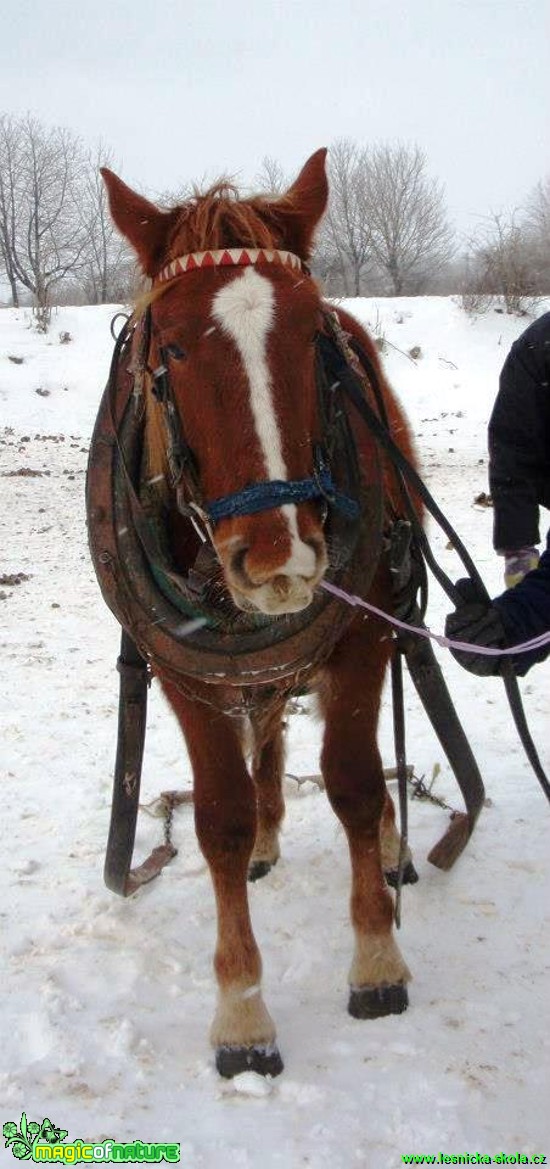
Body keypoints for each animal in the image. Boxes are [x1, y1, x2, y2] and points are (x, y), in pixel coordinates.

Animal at [97, 148, 416, 1075]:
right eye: (167, 345)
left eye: (314, 337)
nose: (279, 558)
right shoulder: (181, 668)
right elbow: (221, 819)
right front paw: (241, 1008)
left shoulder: (365, 631)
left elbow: (353, 780)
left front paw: (376, 958)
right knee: (266, 730)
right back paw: (274, 835)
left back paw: (392, 843)